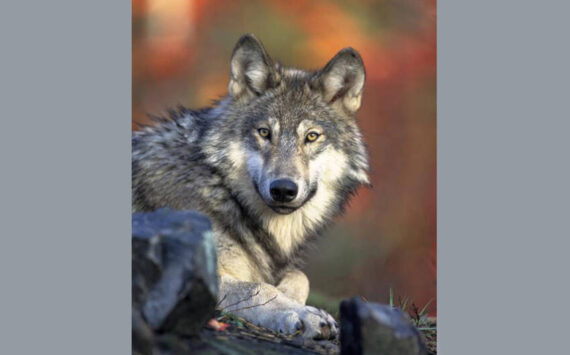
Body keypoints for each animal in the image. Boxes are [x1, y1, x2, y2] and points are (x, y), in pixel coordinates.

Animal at [133, 34, 368, 340]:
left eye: (311, 136)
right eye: (264, 133)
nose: (283, 189)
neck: (222, 191)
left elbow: (299, 277)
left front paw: (293, 299)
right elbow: (259, 287)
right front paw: (302, 314)